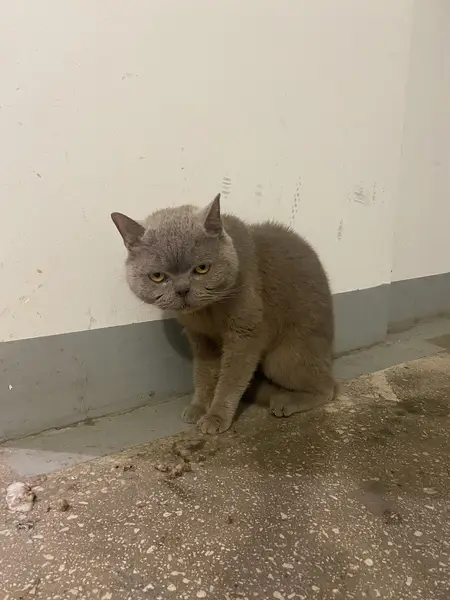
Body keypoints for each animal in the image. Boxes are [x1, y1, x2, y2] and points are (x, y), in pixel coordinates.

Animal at [111, 194, 335, 434]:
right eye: (157, 276)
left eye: (202, 268)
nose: (182, 289)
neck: (207, 313)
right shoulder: (200, 338)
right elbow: (203, 373)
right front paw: (199, 407)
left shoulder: (245, 334)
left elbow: (230, 379)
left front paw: (216, 417)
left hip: (282, 359)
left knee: (328, 386)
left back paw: (285, 401)